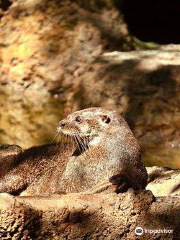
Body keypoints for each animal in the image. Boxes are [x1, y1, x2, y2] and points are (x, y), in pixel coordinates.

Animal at [0, 108, 147, 196]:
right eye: (68, 116)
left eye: (78, 119)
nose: (61, 123)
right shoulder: (71, 175)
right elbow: (63, 189)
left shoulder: (133, 159)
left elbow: (139, 177)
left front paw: (122, 180)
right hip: (23, 167)